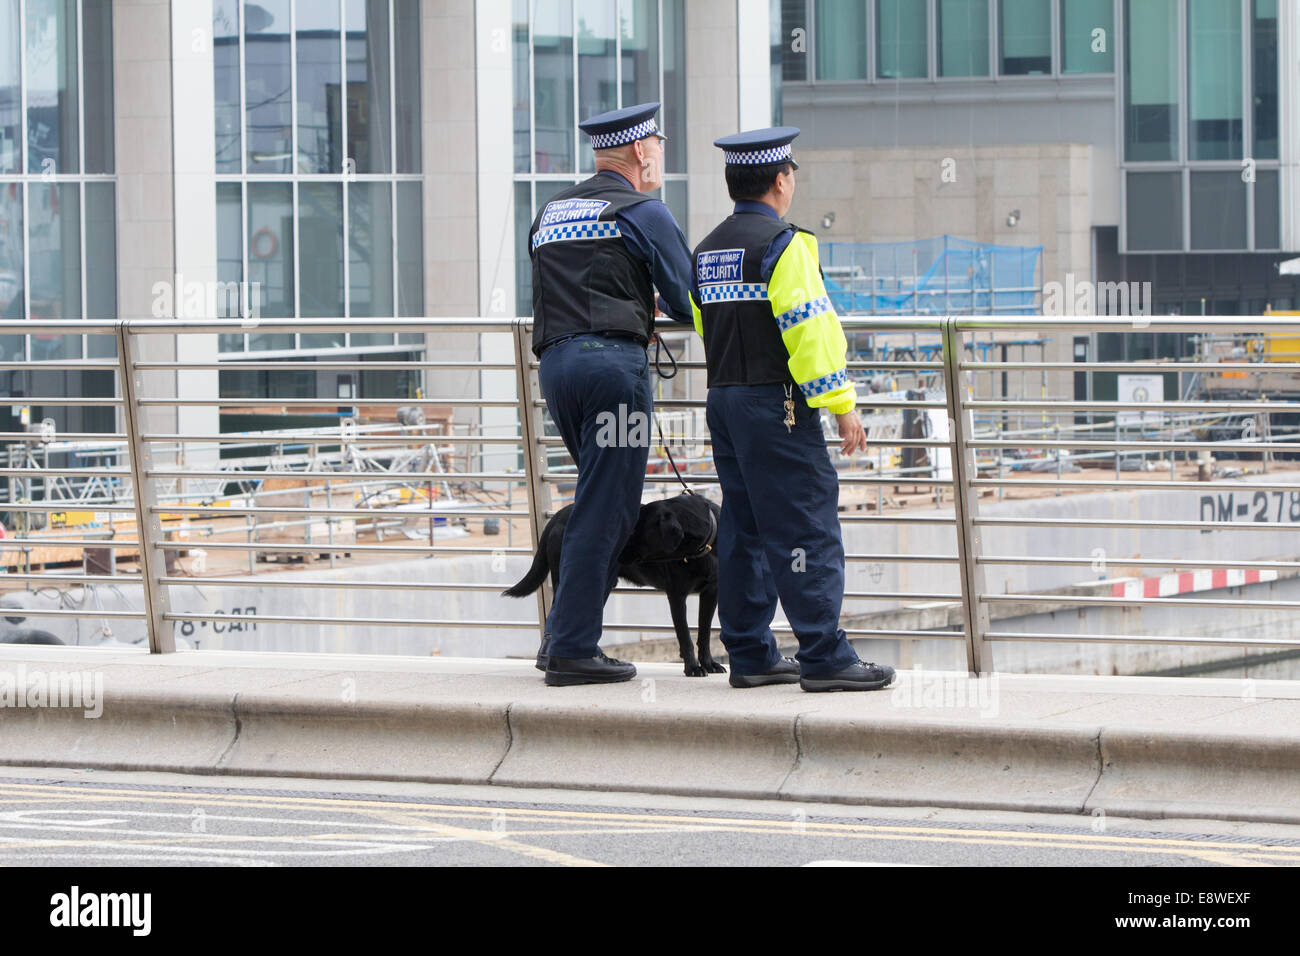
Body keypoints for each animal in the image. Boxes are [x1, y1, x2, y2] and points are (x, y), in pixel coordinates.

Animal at [501, 494, 728, 681]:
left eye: (636, 529)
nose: (617, 550)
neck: (701, 550)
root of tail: (558, 515)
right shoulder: (676, 595)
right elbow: (685, 636)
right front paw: (692, 667)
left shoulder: (711, 593)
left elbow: (704, 633)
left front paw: (709, 663)